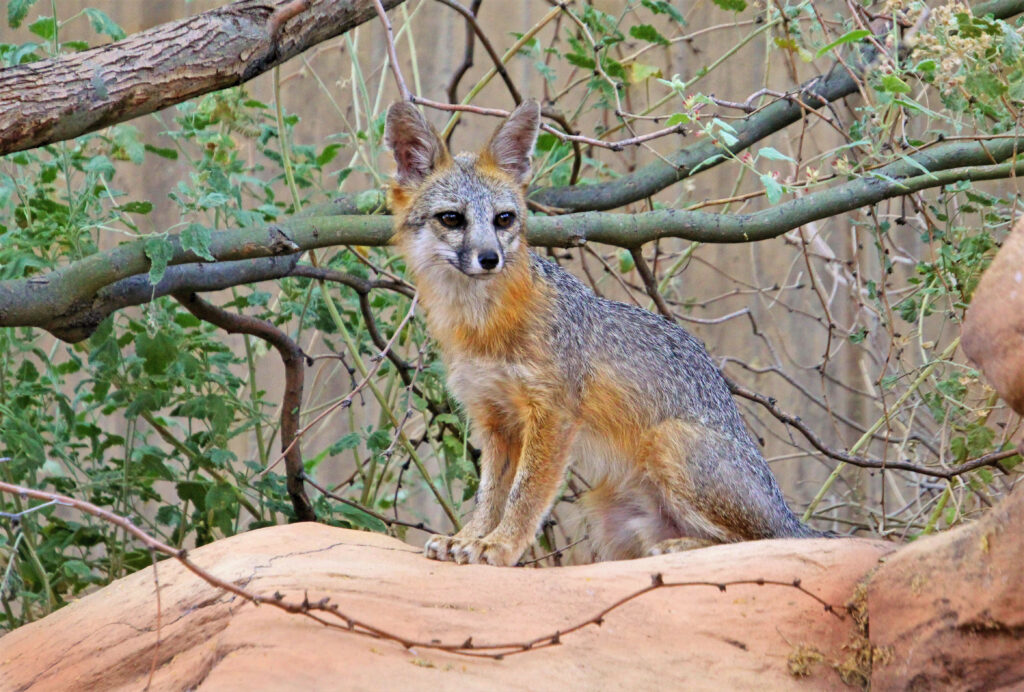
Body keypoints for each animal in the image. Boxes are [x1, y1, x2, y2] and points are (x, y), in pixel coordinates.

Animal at [384, 99, 824, 566]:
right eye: (452, 218)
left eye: (503, 219)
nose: (489, 258)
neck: (483, 327)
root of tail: (789, 514)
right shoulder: (493, 418)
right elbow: (490, 494)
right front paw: (468, 537)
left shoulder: (553, 415)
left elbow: (523, 496)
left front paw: (499, 545)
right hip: (606, 512)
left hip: (670, 442)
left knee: (761, 541)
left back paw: (681, 546)